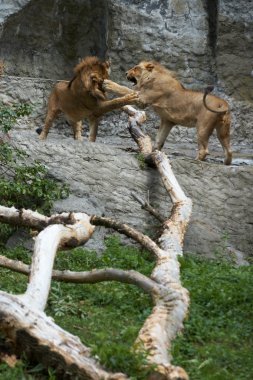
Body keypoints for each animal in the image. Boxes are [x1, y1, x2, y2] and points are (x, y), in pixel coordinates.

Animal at [104, 60, 232, 165]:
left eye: (136, 68)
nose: (126, 73)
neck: (151, 77)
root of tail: (223, 103)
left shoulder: (142, 99)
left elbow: (124, 89)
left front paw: (108, 84)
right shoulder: (167, 121)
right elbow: (159, 140)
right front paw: (153, 154)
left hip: (202, 127)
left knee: (204, 150)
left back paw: (196, 161)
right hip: (222, 130)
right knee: (229, 150)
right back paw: (226, 163)